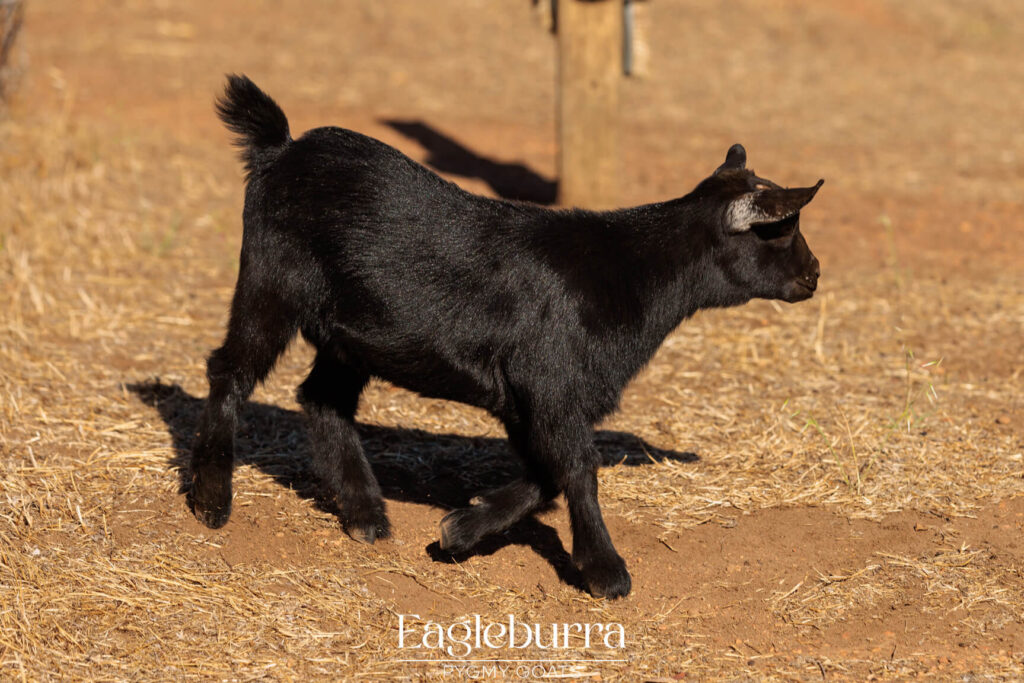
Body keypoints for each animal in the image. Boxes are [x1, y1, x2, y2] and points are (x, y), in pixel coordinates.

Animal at [190, 76, 823, 598]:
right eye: (779, 228)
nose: (814, 274)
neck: (629, 272)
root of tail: (280, 148)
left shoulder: (527, 398)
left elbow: (548, 475)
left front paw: (462, 528)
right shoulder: (548, 381)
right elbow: (578, 470)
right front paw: (606, 573)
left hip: (351, 332)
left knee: (322, 397)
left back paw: (366, 515)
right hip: (272, 280)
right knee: (229, 370)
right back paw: (212, 499)